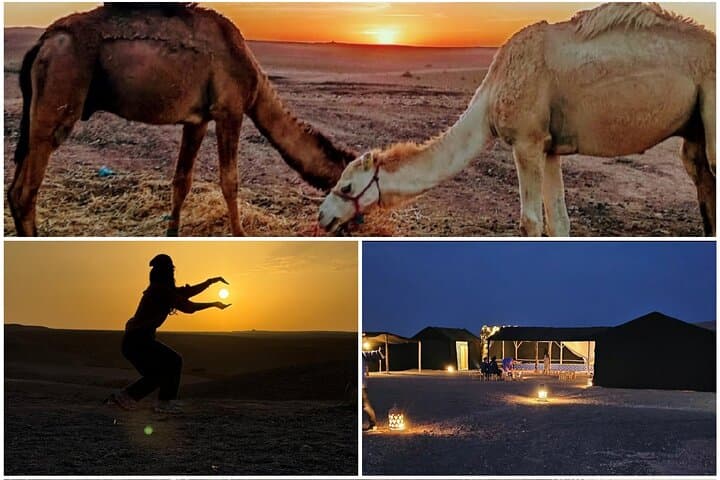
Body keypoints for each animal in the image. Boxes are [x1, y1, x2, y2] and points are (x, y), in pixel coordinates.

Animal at [8, 3, 355, 236]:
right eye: (348, 184)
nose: (336, 223)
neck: (256, 84)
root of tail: (44, 41)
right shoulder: (229, 110)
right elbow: (230, 181)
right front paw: (240, 234)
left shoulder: (197, 120)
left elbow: (181, 181)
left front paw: (172, 232)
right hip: (61, 91)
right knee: (26, 190)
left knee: (15, 188)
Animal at [318, 3, 716, 236]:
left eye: (347, 186)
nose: (323, 216)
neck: (491, 94)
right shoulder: (549, 146)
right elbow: (559, 221)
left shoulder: (526, 142)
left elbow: (531, 222)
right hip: (695, 127)